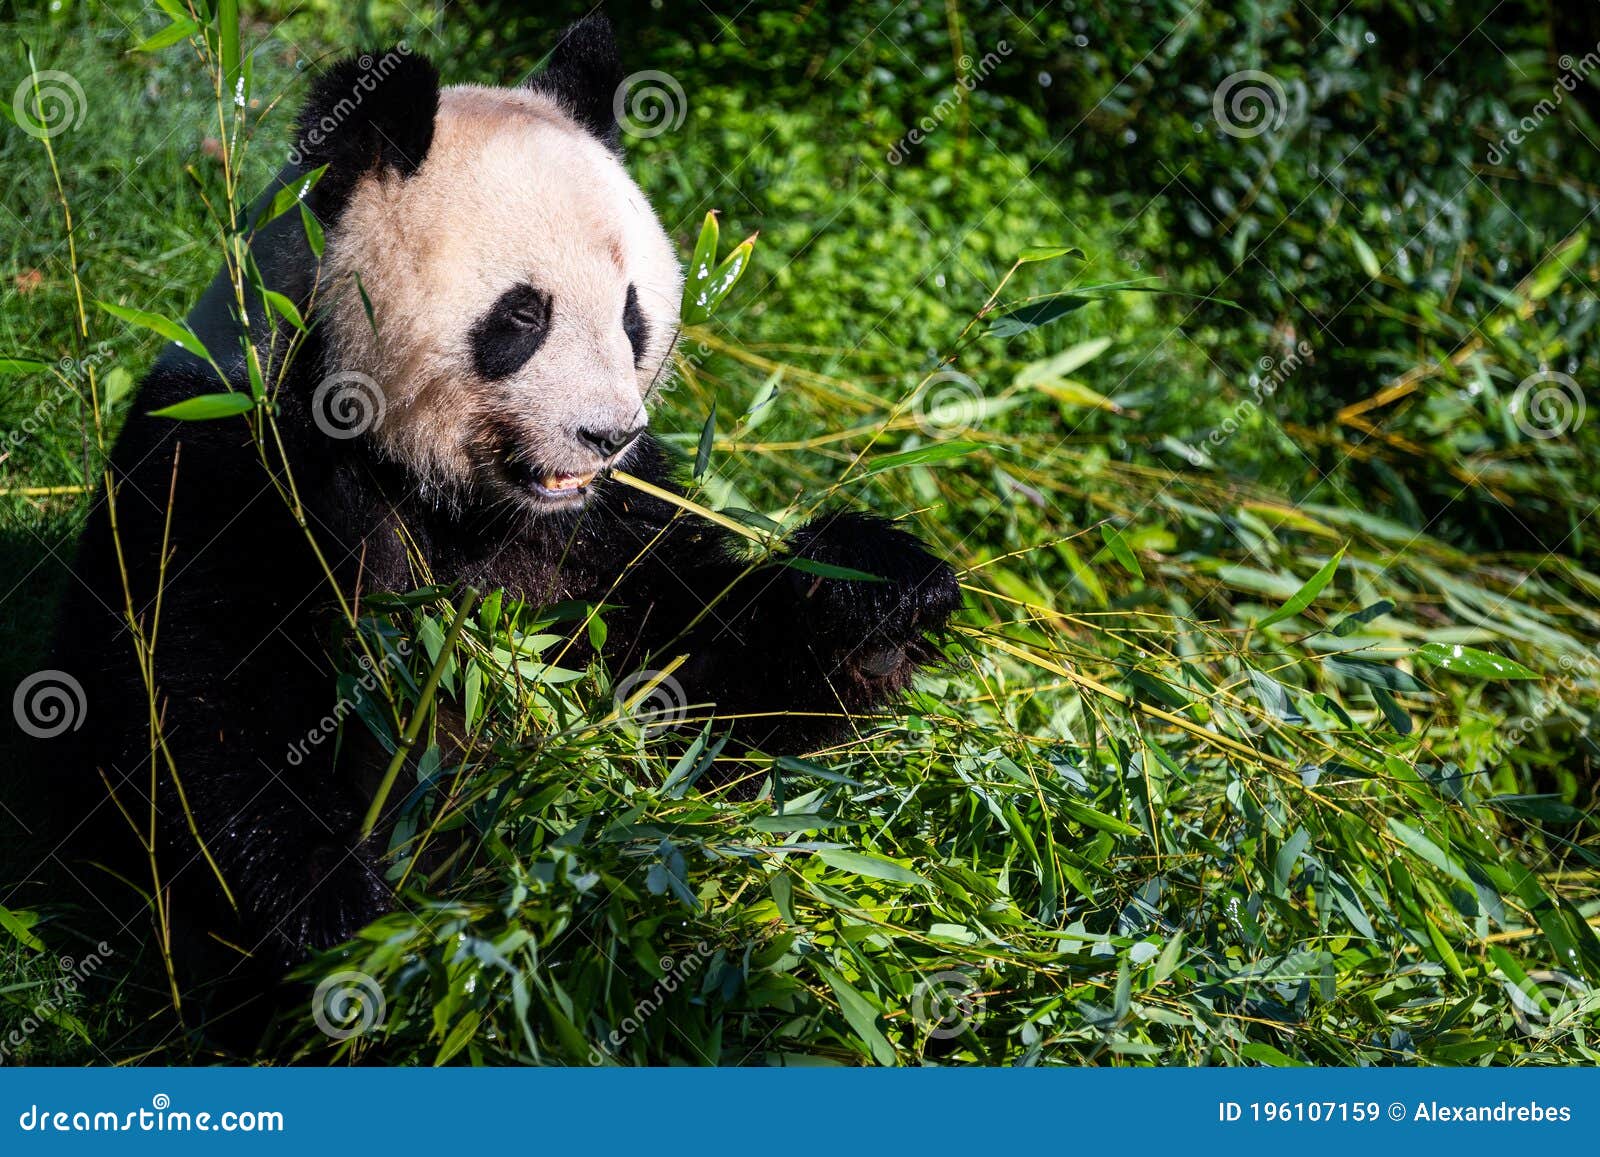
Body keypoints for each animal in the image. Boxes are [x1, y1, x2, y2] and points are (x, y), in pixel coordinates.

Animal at [55, 16, 960, 981]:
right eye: (524, 315)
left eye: (632, 314)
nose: (606, 434)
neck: (455, 490)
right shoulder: (229, 459)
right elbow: (190, 701)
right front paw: (339, 913)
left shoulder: (610, 528)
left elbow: (699, 694)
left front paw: (878, 592)